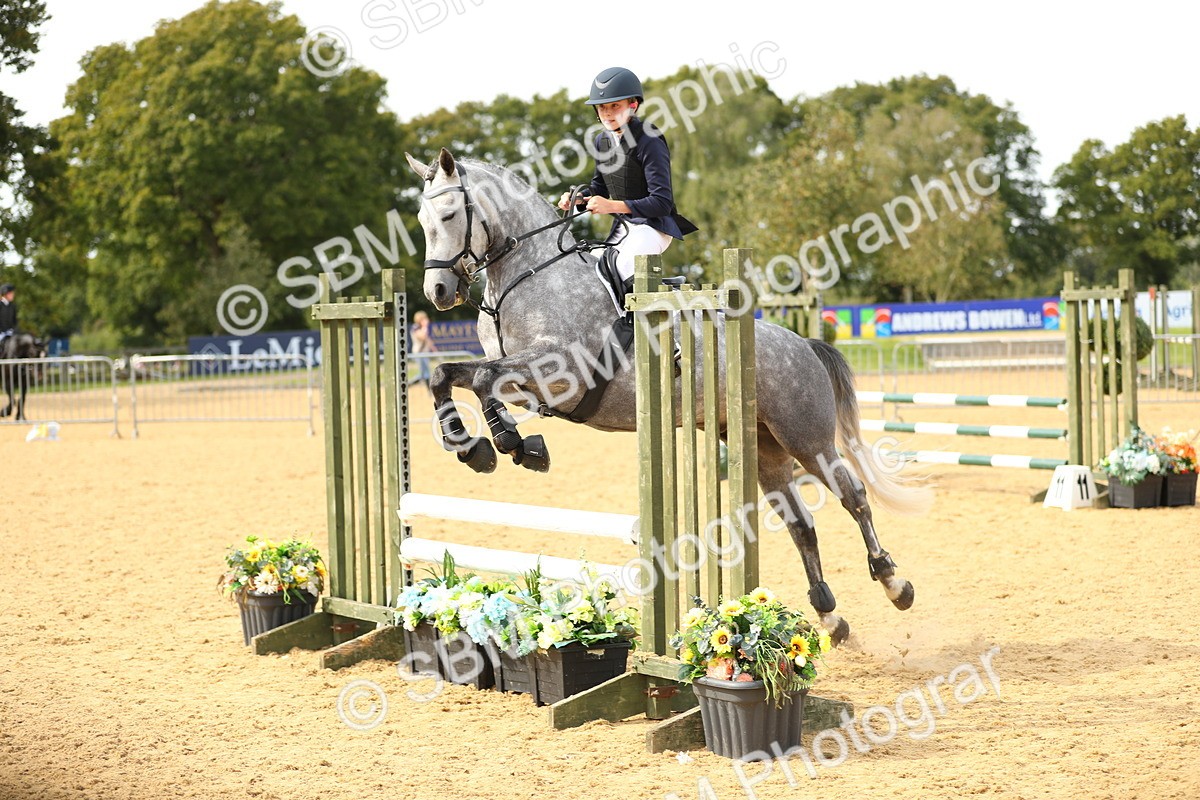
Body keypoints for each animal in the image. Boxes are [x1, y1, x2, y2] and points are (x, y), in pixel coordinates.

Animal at [404, 147, 931, 642]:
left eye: (449, 216)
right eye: (422, 222)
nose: (438, 292)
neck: (529, 276)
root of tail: (803, 343)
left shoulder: (558, 372)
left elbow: (479, 380)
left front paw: (505, 447)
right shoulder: (519, 377)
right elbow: (456, 376)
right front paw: (486, 448)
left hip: (807, 438)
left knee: (854, 496)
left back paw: (894, 583)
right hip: (764, 450)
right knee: (801, 523)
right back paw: (830, 615)